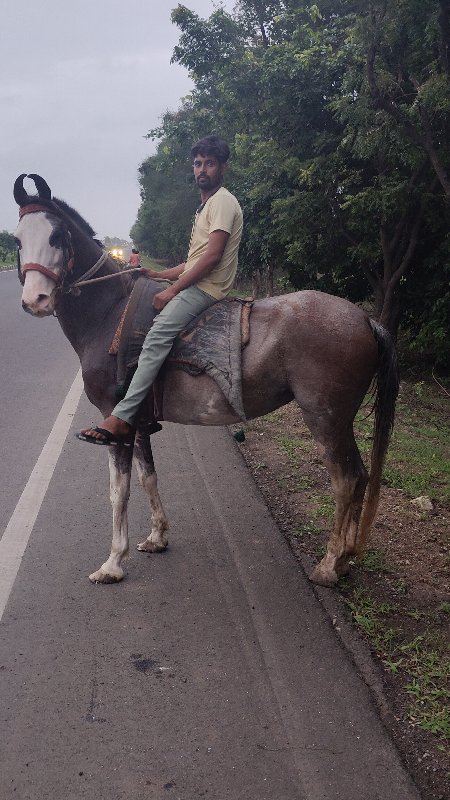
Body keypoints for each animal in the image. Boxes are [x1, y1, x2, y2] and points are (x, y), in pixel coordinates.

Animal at [13, 173, 398, 588]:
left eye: (56, 236)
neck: (109, 314)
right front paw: (157, 537)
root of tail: (364, 319)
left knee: (346, 480)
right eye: (17, 240)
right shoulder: (139, 421)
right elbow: (148, 476)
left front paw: (113, 562)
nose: (35, 300)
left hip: (326, 419)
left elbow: (119, 492)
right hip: (340, 422)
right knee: (360, 478)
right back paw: (345, 558)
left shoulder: (115, 420)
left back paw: (329, 565)